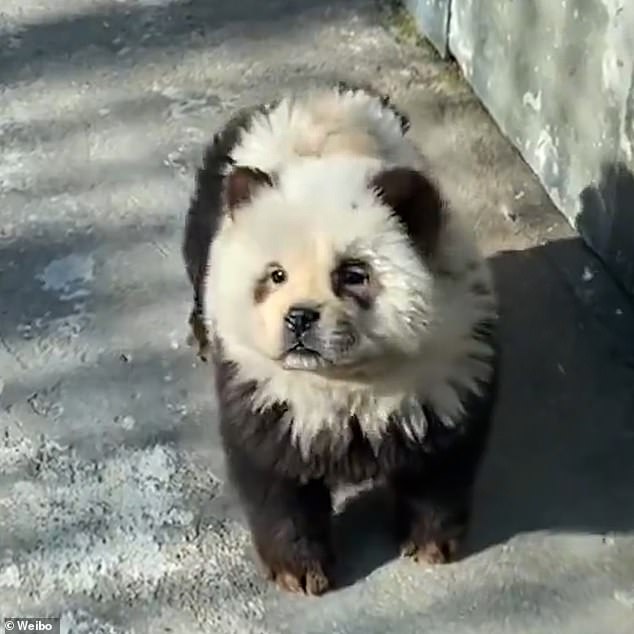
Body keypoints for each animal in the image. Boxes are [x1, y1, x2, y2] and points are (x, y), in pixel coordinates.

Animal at [180, 82, 496, 592]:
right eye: (276, 275)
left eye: (352, 274)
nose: (299, 319)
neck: (349, 382)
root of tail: (314, 95)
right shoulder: (265, 389)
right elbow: (274, 477)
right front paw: (299, 570)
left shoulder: (449, 364)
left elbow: (442, 464)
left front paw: (429, 543)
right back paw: (201, 334)